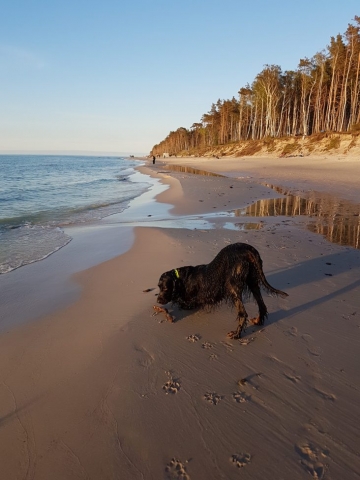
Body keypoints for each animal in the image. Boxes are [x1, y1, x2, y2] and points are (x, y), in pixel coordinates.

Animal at [156, 244, 288, 338]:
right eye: (158, 287)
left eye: (165, 288)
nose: (158, 300)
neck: (181, 278)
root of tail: (248, 248)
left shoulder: (191, 302)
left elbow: (182, 303)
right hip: (252, 280)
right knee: (261, 305)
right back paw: (258, 320)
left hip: (232, 285)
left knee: (243, 313)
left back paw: (236, 334)